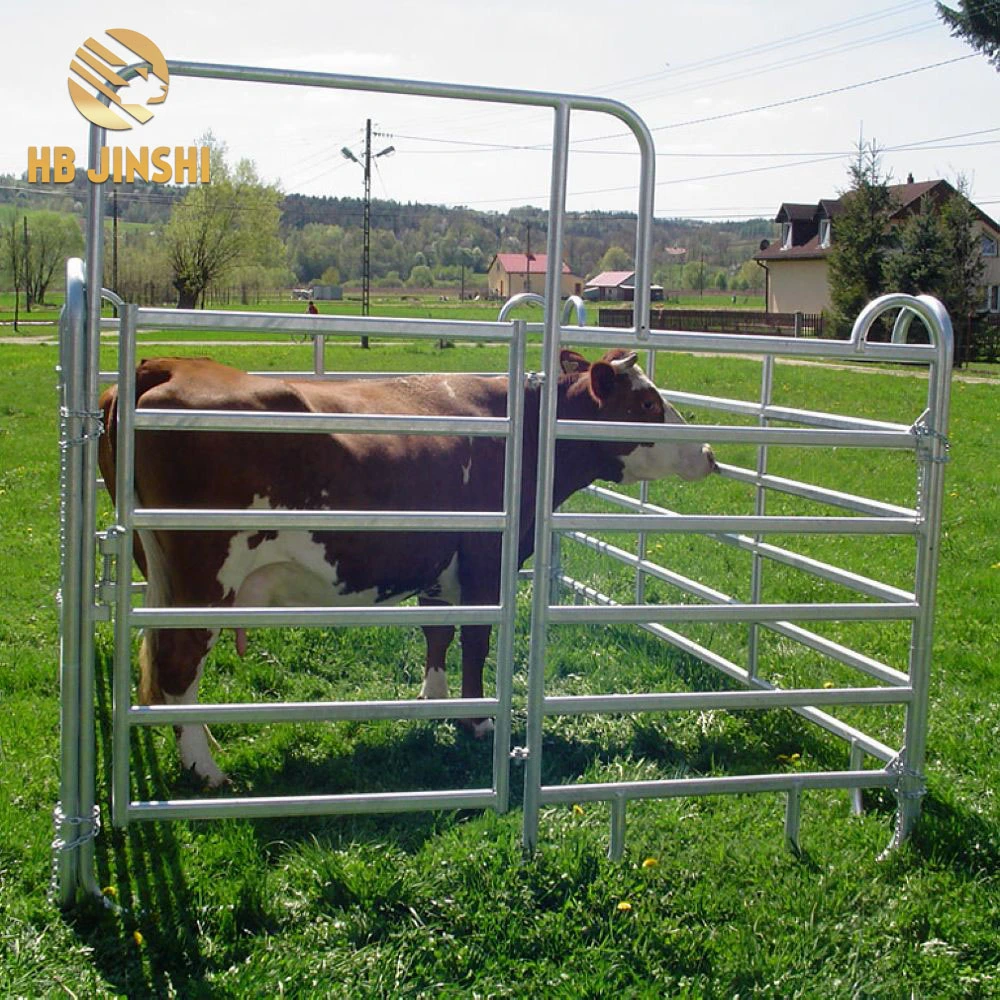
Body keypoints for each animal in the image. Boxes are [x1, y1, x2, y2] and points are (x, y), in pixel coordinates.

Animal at [97, 352, 716, 788]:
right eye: (647, 405)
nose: (709, 453)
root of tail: (170, 364)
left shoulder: (440, 561)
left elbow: (437, 631)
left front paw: (434, 700)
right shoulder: (486, 560)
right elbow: (476, 639)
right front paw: (478, 720)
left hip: (163, 574)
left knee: (163, 665)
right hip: (206, 575)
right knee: (179, 662)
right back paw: (206, 770)